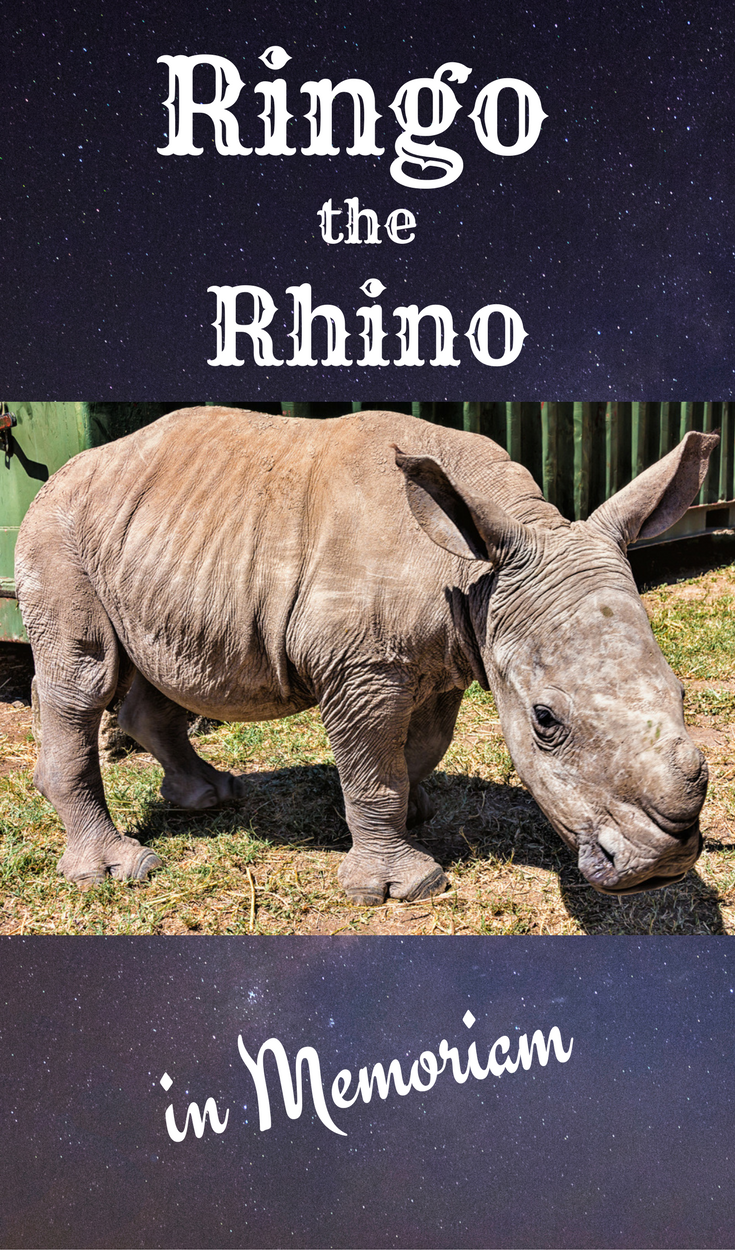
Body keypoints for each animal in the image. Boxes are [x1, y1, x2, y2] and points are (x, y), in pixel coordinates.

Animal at [15, 407, 716, 904]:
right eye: (546, 722)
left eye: (682, 693)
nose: (663, 863)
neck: (476, 574)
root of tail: (62, 473)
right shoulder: (365, 665)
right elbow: (375, 766)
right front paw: (402, 886)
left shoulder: (446, 654)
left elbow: (420, 748)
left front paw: (414, 813)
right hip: (56, 529)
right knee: (84, 675)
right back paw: (120, 870)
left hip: (149, 539)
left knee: (158, 669)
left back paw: (211, 797)